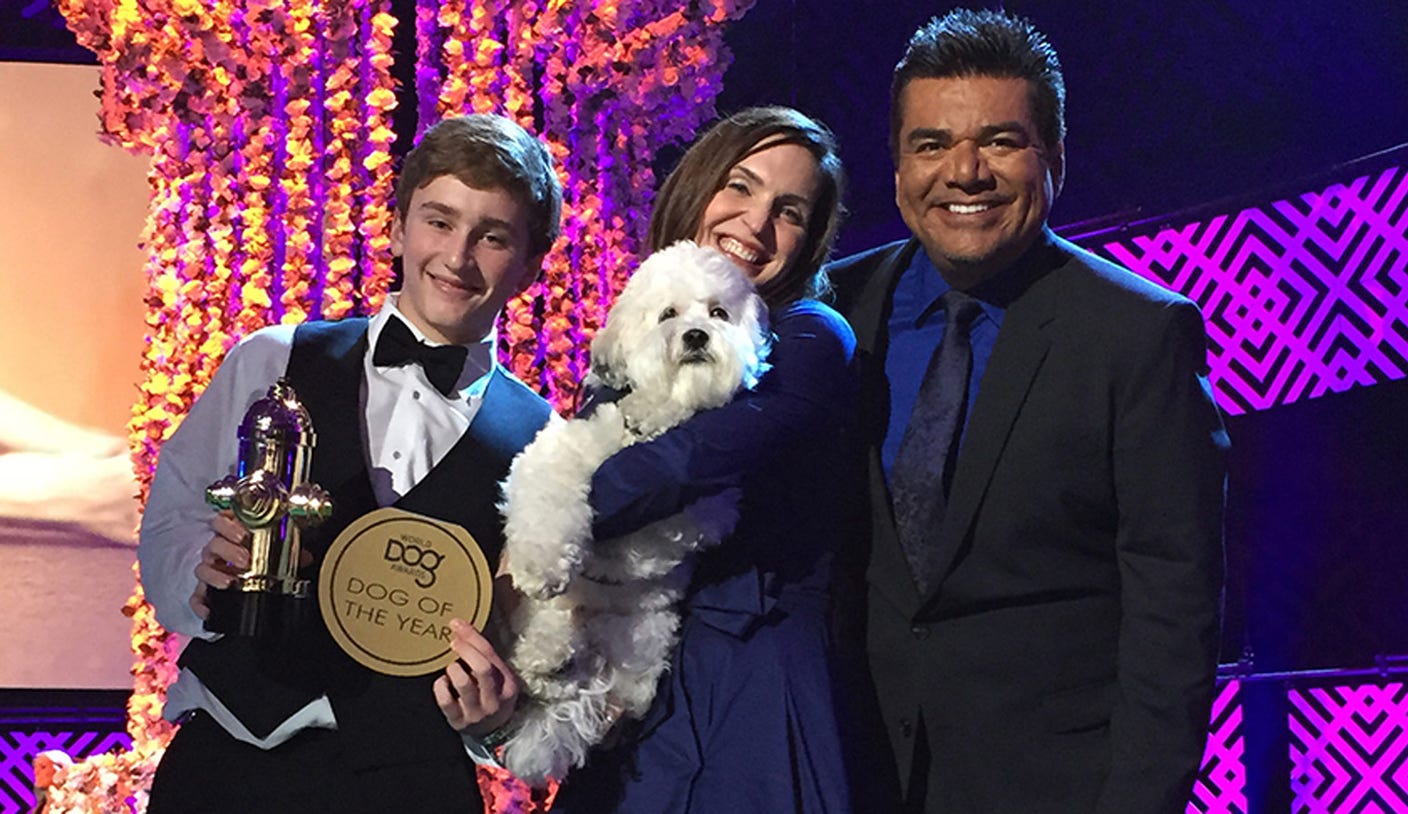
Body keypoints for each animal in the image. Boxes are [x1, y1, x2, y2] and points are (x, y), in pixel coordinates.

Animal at [498, 239, 771, 777]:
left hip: (646, 635)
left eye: (718, 313)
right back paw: (548, 656)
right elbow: (549, 501)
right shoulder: (554, 454)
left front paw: (657, 410)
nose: (695, 335)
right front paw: (544, 564)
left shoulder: (710, 506)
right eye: (668, 314)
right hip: (543, 616)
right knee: (545, 639)